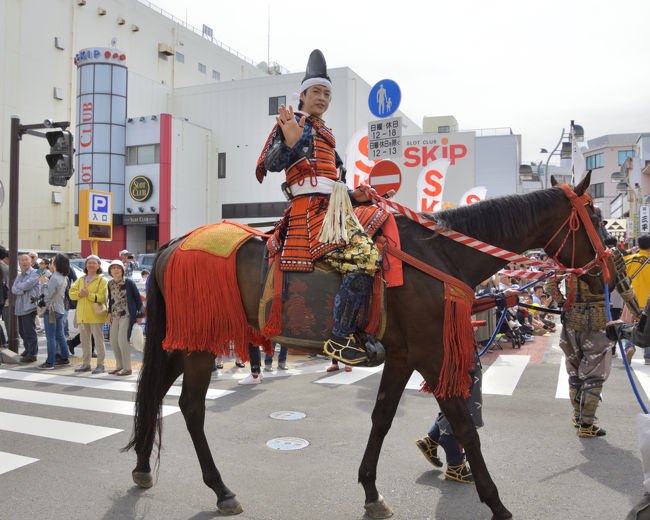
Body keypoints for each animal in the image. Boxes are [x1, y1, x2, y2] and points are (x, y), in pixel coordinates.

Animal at [123, 174, 612, 520]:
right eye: (597, 217)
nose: (606, 269)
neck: (440, 257)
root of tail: (172, 243)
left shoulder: (403, 356)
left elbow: (382, 418)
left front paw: (372, 492)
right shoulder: (433, 356)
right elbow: (465, 427)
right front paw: (497, 504)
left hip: (186, 340)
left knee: (154, 392)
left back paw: (143, 467)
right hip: (200, 342)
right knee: (190, 406)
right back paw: (221, 489)